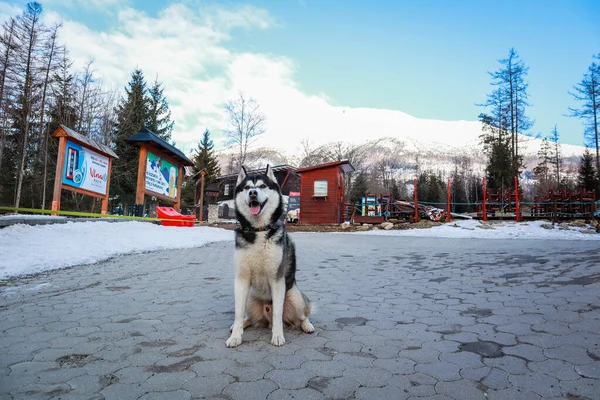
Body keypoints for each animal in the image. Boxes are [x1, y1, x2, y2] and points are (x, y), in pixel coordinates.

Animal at [226, 166, 314, 346]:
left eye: (262, 186)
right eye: (247, 187)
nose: (252, 193)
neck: (259, 230)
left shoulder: (277, 279)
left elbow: (278, 313)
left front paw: (278, 336)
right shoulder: (241, 279)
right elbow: (238, 313)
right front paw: (236, 336)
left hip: (295, 296)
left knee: (302, 315)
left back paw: (307, 325)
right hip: (251, 299)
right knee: (249, 318)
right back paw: (242, 324)